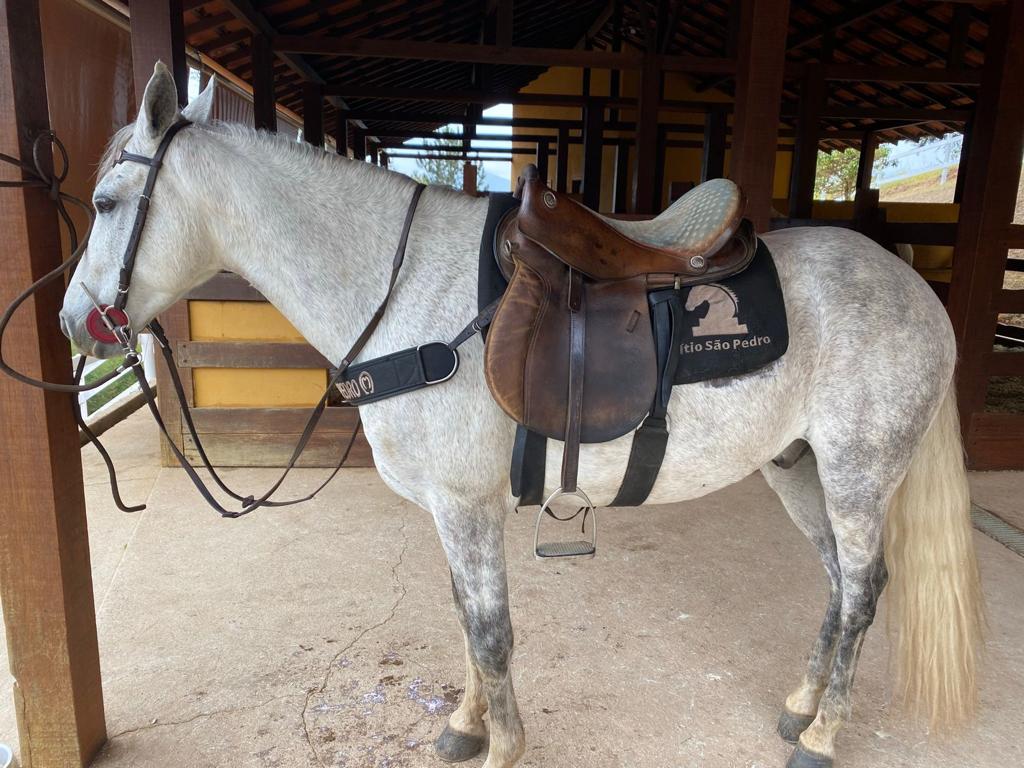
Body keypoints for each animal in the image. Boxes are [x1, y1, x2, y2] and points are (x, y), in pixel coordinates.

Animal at [60, 64, 982, 768]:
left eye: (104, 203)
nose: (75, 322)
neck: (407, 294)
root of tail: (914, 288)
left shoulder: (466, 506)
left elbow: (491, 632)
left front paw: (501, 747)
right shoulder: (453, 511)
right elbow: (466, 622)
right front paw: (466, 729)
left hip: (859, 475)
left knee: (861, 592)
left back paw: (822, 738)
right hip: (797, 467)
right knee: (837, 583)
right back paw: (800, 705)